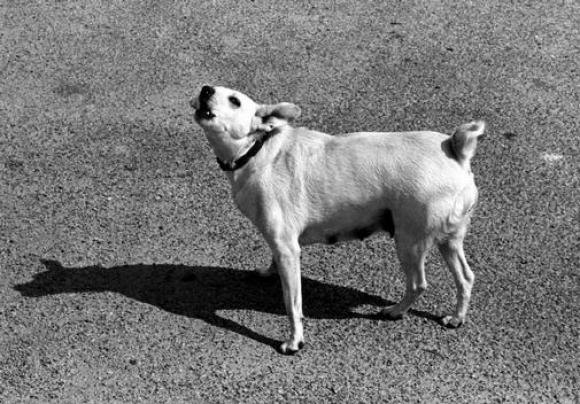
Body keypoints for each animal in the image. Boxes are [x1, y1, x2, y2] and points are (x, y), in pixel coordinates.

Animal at [191, 85, 484, 354]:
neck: (258, 149)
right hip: (449, 239)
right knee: (465, 277)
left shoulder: (287, 248)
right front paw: (268, 271)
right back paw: (457, 317)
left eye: (234, 100)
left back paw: (395, 311)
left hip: (409, 241)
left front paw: (294, 341)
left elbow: (292, 303)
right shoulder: (282, 244)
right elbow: (274, 262)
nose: (205, 89)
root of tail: (456, 151)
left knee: (418, 284)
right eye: (212, 88)